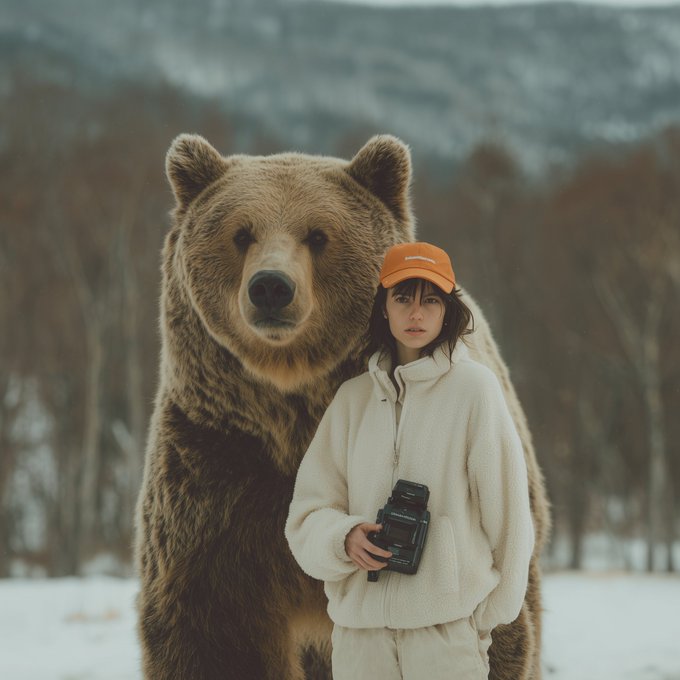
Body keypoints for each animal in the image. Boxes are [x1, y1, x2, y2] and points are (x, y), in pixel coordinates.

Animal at [134, 132, 551, 680]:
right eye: (241, 233)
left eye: (317, 235)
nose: (271, 286)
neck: (294, 408)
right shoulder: (219, 472)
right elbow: (215, 634)